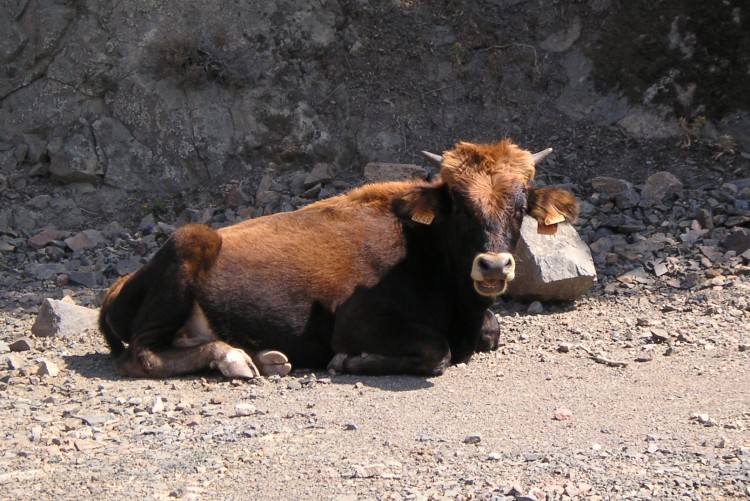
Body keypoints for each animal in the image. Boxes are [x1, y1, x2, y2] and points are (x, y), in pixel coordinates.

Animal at [98, 139, 580, 376]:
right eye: (458, 206)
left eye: (520, 206)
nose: (494, 266)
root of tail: (117, 286)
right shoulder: (357, 323)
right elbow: (437, 352)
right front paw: (348, 362)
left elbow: (490, 332)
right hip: (188, 243)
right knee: (140, 356)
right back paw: (238, 360)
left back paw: (265, 359)